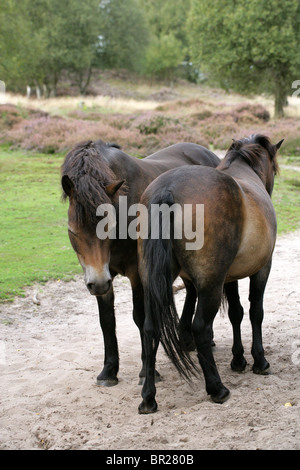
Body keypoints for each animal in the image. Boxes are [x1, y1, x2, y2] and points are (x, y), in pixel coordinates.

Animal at [61, 139, 220, 386]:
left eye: (109, 226)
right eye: (72, 231)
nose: (98, 283)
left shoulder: (137, 273)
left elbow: (141, 317)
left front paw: (147, 370)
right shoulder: (103, 276)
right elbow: (107, 321)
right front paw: (109, 371)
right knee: (192, 290)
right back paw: (186, 339)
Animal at [138, 134, 284, 414]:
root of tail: (167, 189)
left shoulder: (230, 277)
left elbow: (237, 313)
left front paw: (238, 360)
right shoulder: (262, 269)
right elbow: (255, 312)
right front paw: (258, 360)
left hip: (152, 283)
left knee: (150, 329)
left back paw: (148, 398)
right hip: (210, 286)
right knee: (201, 328)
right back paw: (217, 388)